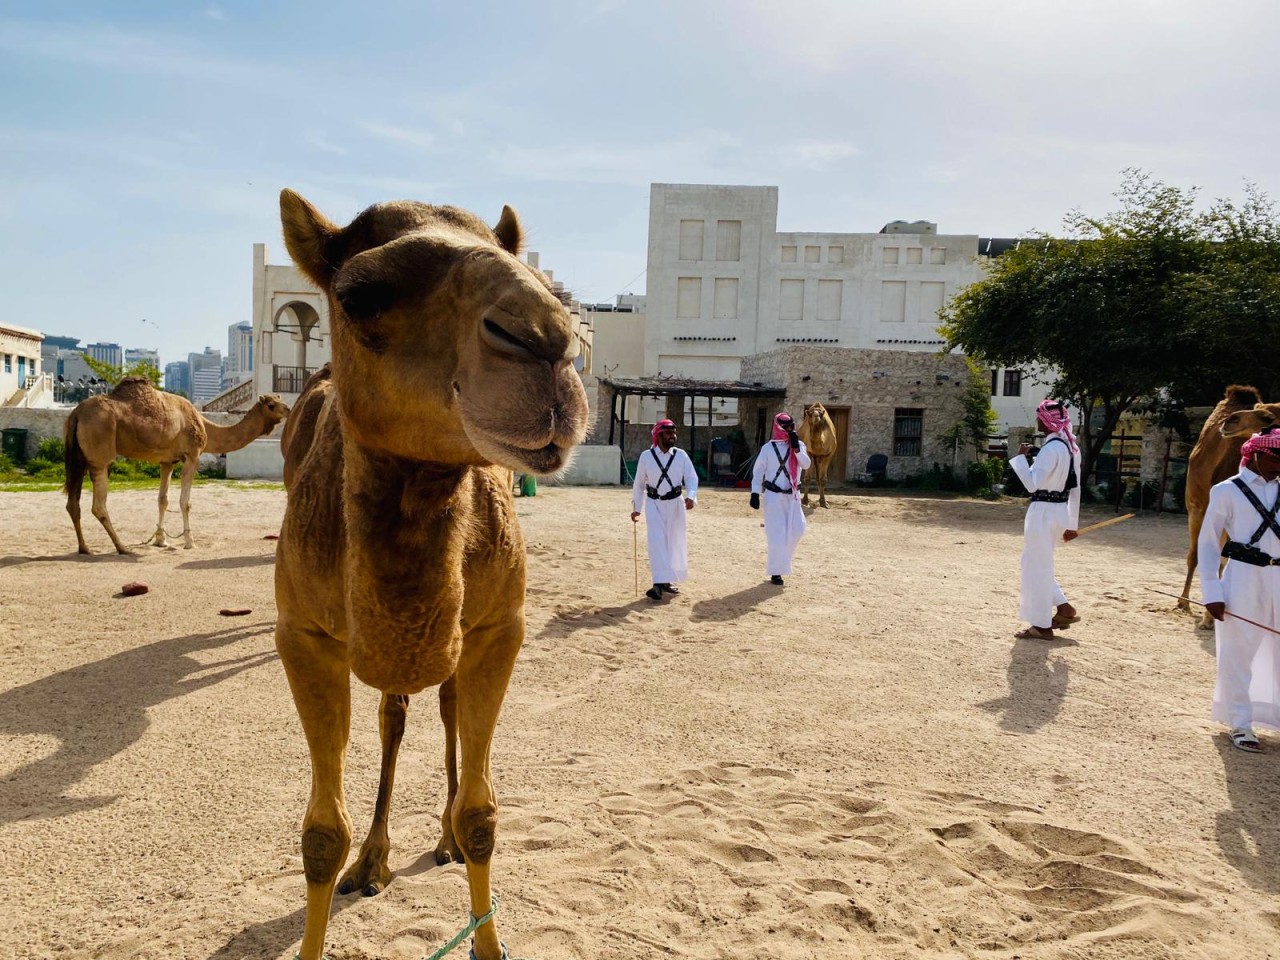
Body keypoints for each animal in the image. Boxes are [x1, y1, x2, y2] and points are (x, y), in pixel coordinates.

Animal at [63, 378, 289, 555]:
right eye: (271, 405)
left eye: (279, 399)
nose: (287, 409)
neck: (205, 425)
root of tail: (76, 413)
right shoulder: (192, 455)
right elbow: (185, 502)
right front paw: (189, 542)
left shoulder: (167, 461)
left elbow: (162, 499)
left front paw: (161, 540)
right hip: (100, 453)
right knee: (98, 505)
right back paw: (122, 548)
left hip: (79, 457)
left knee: (73, 503)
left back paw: (84, 548)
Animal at [275, 189, 588, 960]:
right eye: (359, 295)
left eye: (518, 261)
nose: (548, 338)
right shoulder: (301, 636)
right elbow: (320, 836)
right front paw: (349, 865)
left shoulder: (501, 627)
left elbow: (482, 814)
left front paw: (486, 937)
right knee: (394, 714)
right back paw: (375, 861)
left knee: (442, 706)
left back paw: (439, 838)